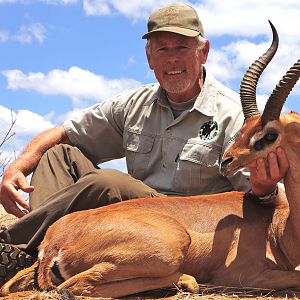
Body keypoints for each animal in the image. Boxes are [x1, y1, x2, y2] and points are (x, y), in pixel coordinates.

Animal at [0, 21, 300, 298]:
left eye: (267, 134)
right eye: (245, 129)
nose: (227, 160)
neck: (276, 229)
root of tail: (54, 241)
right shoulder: (244, 275)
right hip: (170, 250)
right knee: (73, 288)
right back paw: (187, 281)